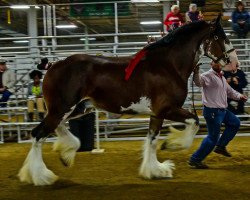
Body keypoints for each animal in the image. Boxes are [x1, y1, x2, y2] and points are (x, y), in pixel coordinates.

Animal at [18, 15, 238, 186]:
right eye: (220, 37)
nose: (234, 63)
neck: (168, 65)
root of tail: (53, 65)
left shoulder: (157, 114)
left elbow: (152, 140)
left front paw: (155, 170)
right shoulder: (168, 109)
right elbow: (194, 121)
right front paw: (172, 146)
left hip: (77, 108)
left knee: (56, 129)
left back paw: (65, 154)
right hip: (61, 108)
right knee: (38, 134)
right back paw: (41, 176)